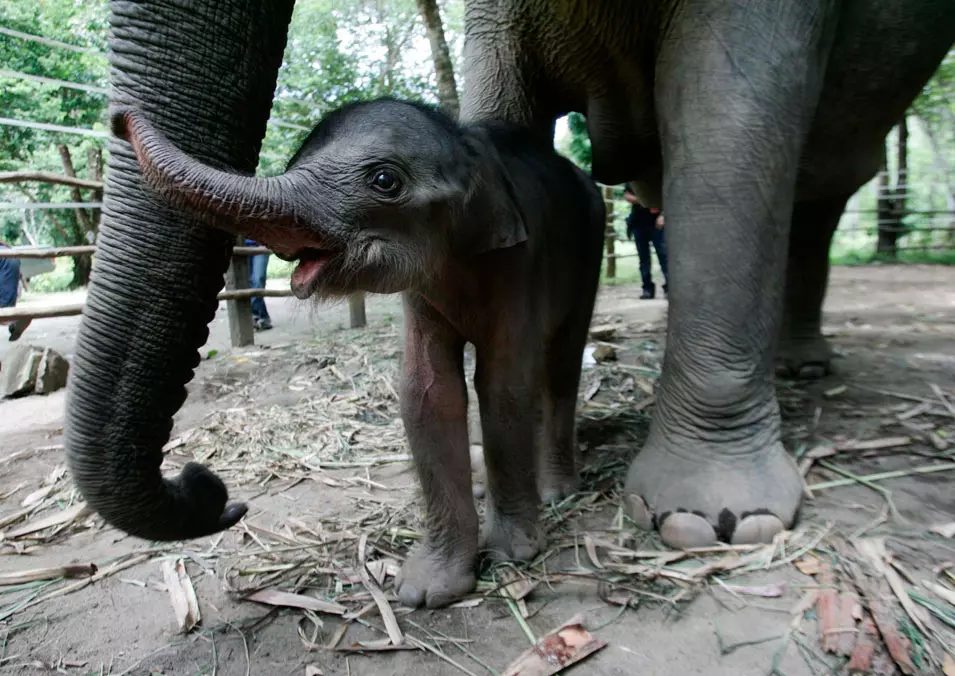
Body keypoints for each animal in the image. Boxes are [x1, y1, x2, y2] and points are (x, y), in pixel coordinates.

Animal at [67, 1, 955, 544]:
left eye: (383, 181)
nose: (216, 490)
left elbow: (730, 117)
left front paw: (712, 521)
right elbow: (428, 385)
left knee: (813, 191)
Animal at [114, 96, 604, 608]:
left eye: (384, 181)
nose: (118, 117)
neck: (465, 144)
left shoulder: (521, 262)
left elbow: (502, 385)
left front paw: (512, 555)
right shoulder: (423, 291)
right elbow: (427, 392)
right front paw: (425, 591)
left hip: (591, 239)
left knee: (562, 362)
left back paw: (556, 491)